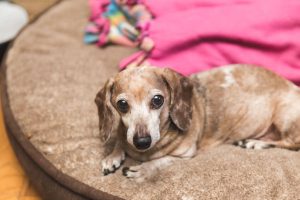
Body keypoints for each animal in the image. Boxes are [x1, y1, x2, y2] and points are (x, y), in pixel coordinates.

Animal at [95, 65, 300, 182]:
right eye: (122, 104)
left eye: (157, 100)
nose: (142, 141)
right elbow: (120, 140)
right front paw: (112, 156)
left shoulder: (185, 155)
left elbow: (161, 160)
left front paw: (144, 170)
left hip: (283, 116)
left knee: (292, 143)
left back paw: (255, 143)